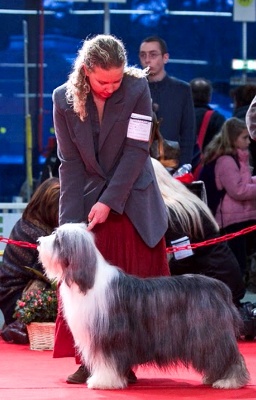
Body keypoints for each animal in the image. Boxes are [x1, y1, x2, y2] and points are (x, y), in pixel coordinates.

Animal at [37, 223, 250, 390]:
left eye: (58, 239)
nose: (39, 242)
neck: (88, 280)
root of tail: (220, 287)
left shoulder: (108, 336)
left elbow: (107, 362)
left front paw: (103, 381)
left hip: (209, 334)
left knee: (228, 355)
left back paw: (229, 381)